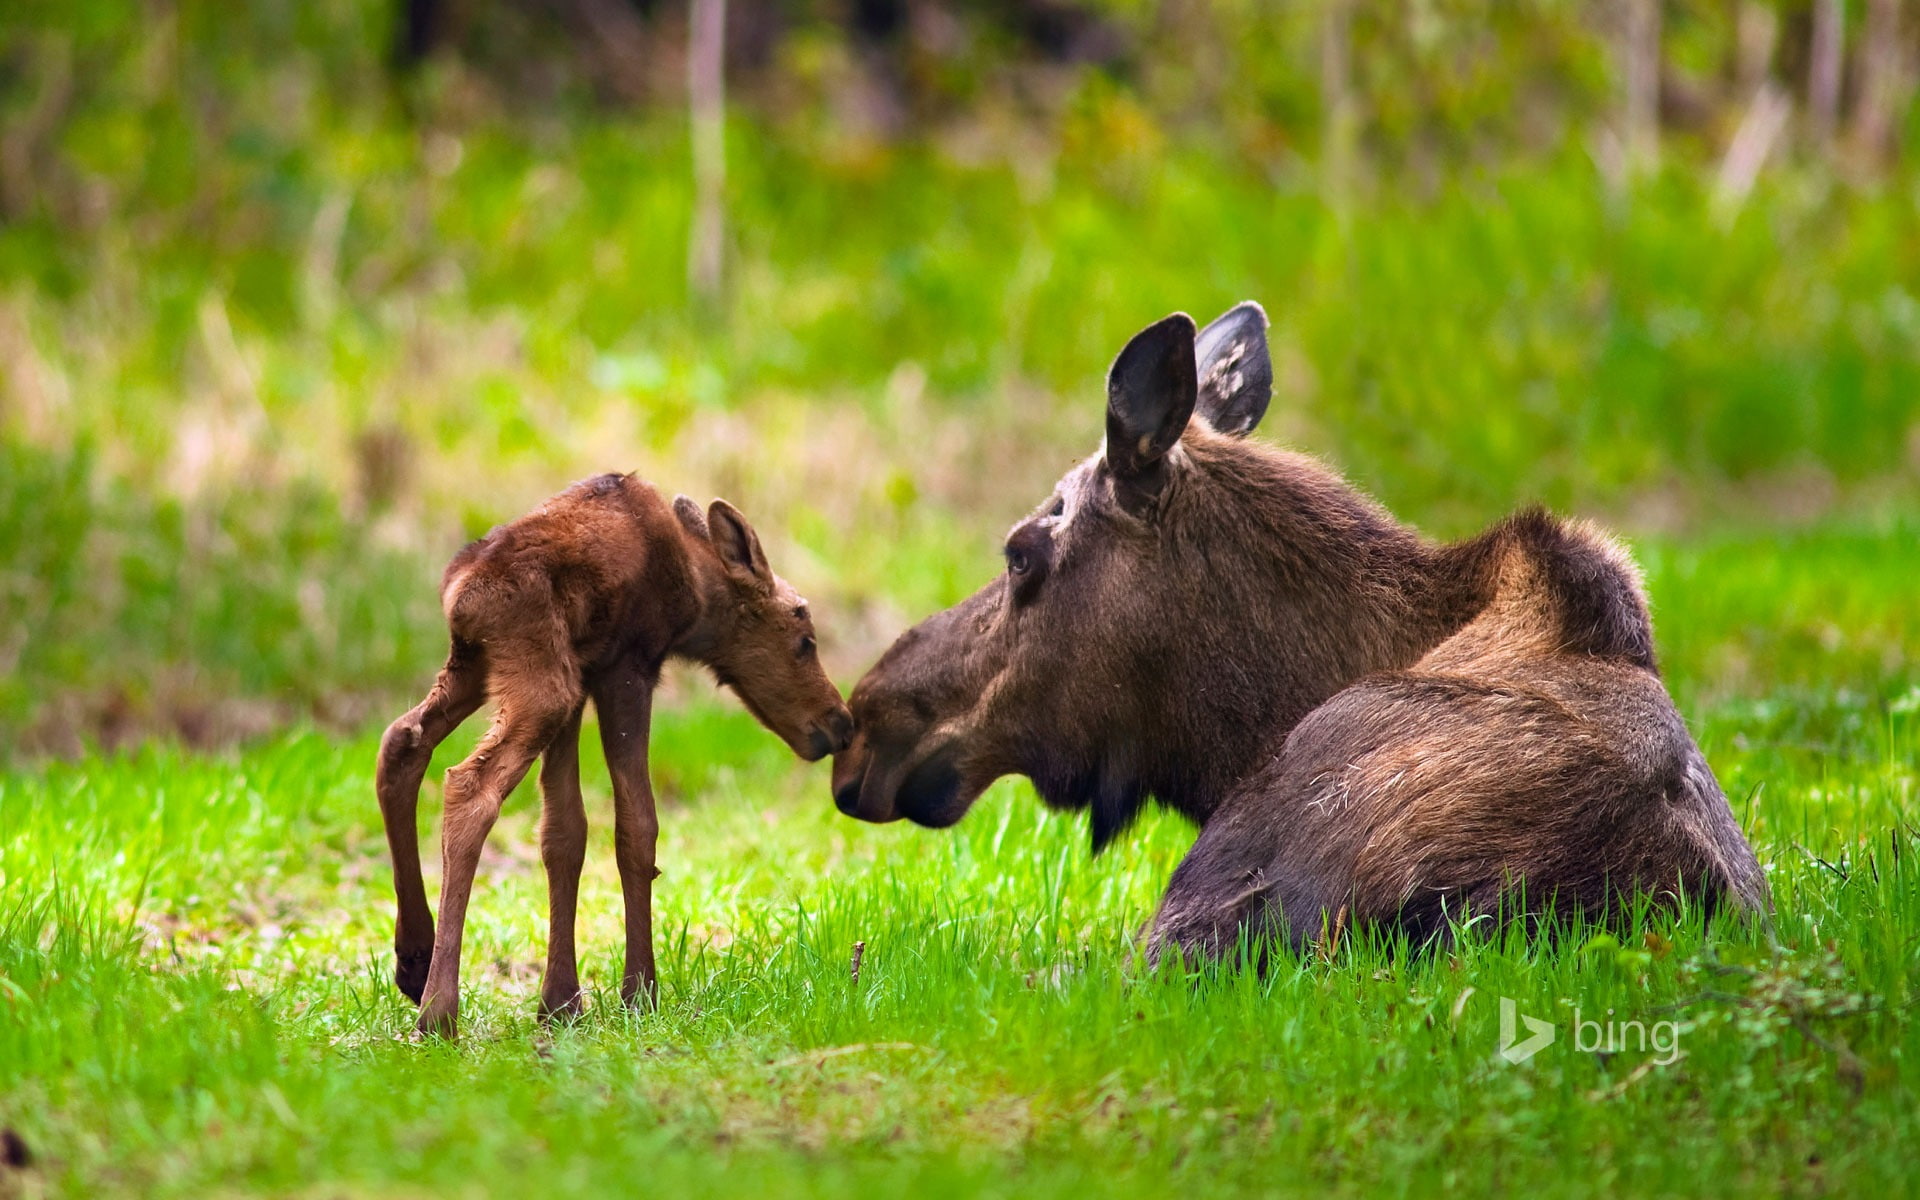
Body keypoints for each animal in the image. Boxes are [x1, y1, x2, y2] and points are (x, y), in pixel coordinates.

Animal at [376, 472, 852, 1037]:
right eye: (804, 640)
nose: (840, 723)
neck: (696, 595)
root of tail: (461, 597)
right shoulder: (627, 666)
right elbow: (637, 826)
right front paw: (640, 991)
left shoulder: (583, 675)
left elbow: (564, 833)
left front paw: (560, 1003)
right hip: (541, 685)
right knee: (469, 785)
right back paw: (438, 1011)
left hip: (485, 669)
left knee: (401, 739)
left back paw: (414, 960)